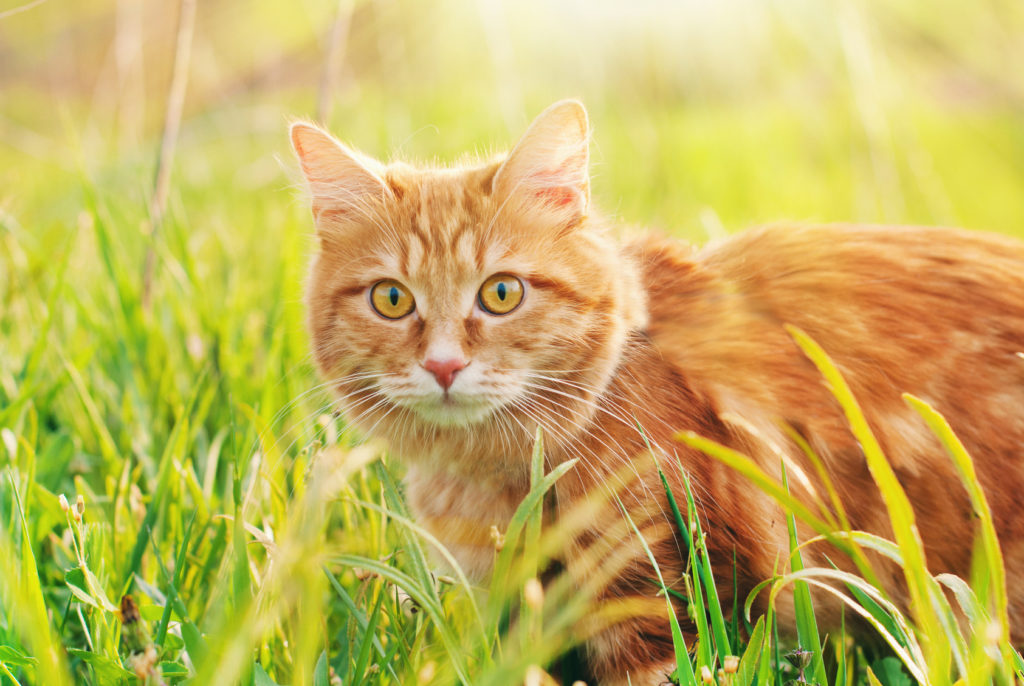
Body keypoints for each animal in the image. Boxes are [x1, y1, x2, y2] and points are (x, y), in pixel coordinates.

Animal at [288, 99, 1024, 683]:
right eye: (391, 299)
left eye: (501, 293)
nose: (444, 366)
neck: (498, 477)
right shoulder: (525, 622)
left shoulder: (662, 593)